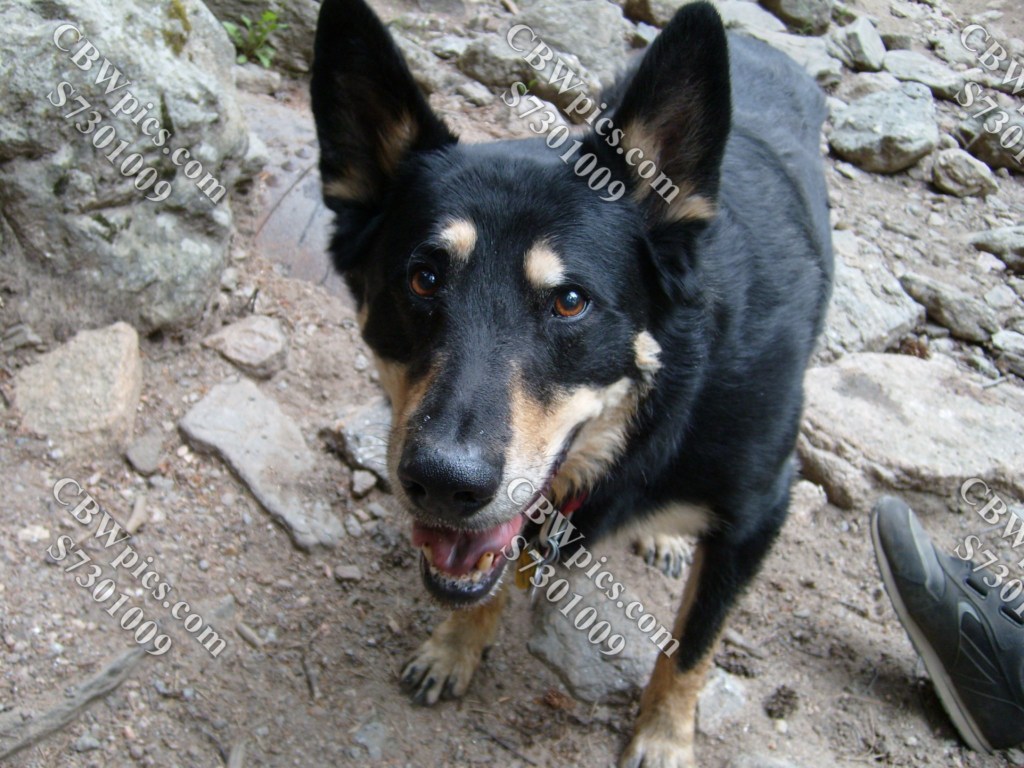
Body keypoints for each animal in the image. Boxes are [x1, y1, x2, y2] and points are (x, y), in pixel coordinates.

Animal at [311, 0, 833, 764]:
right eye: (423, 278)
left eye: (571, 301)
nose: (442, 482)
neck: (660, 405)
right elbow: (490, 568)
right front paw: (457, 645)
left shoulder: (760, 511)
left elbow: (692, 648)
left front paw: (664, 736)